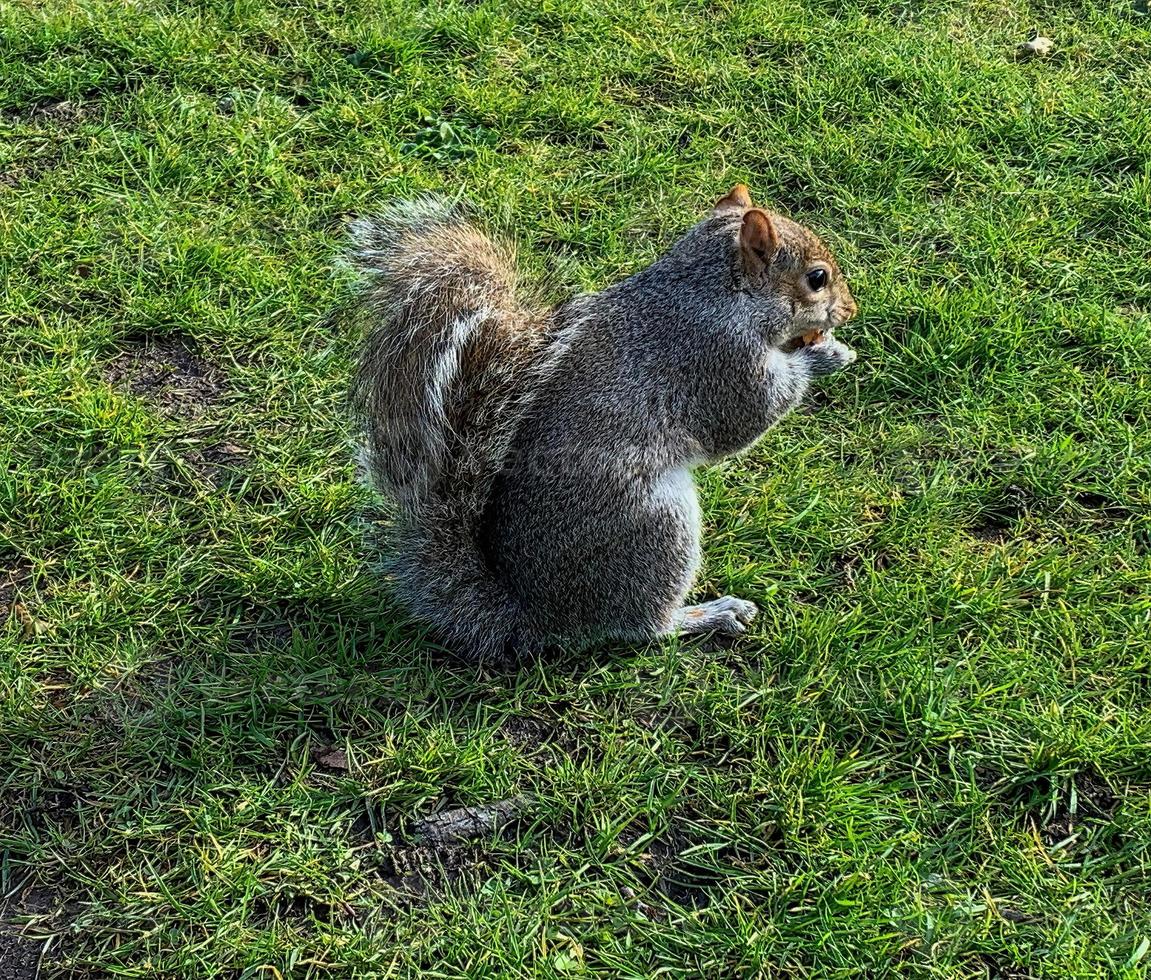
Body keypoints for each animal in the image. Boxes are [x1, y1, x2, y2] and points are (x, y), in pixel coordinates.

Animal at [345, 184, 860, 658]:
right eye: (817, 278)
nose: (850, 310)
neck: (713, 290)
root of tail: (539, 614)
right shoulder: (718, 360)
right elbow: (747, 417)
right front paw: (825, 356)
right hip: (656, 528)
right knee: (640, 626)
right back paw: (705, 615)